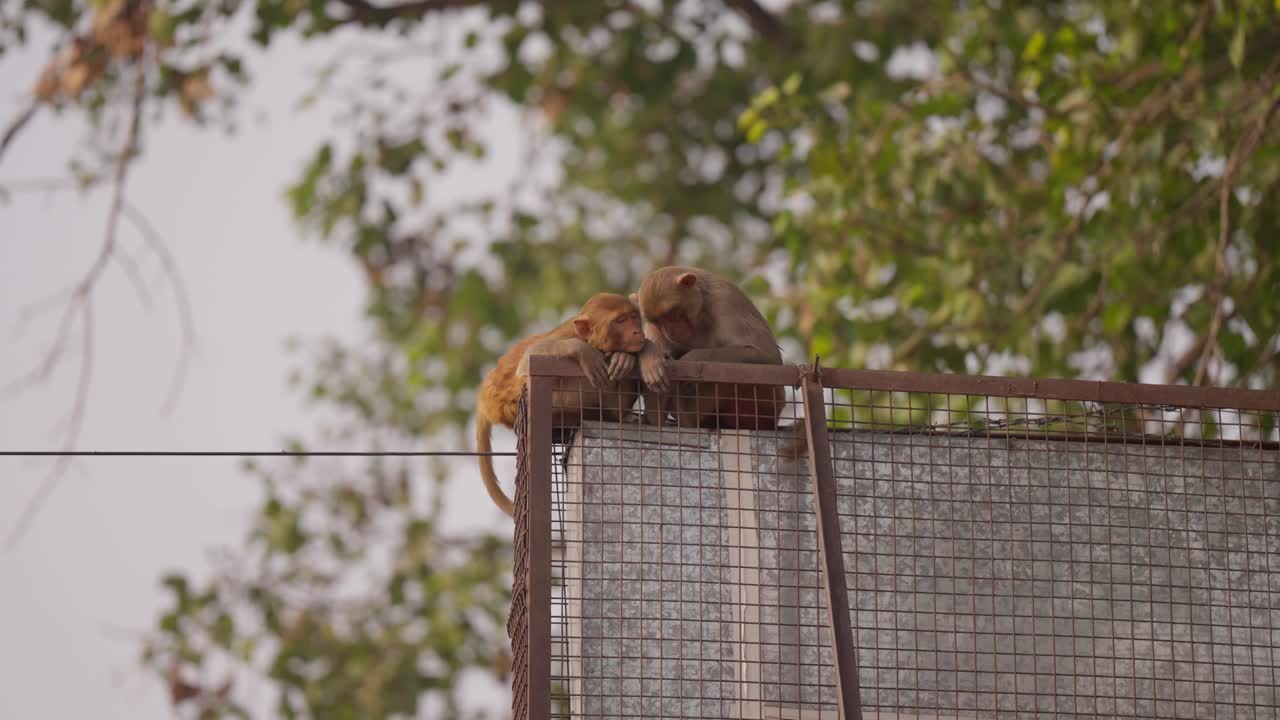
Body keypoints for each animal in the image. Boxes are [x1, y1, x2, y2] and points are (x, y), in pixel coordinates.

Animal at [475, 293, 646, 516]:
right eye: (620, 320)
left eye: (634, 316)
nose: (637, 331)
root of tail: (485, 397)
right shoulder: (567, 335)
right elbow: (528, 362)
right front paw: (580, 350)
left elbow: (615, 402)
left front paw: (624, 358)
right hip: (510, 404)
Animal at [633, 266, 786, 431]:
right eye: (658, 321)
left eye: (672, 313)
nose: (670, 332)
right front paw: (650, 360)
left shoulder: (725, 302)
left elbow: (768, 357)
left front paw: (691, 360)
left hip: (764, 405)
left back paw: (686, 418)